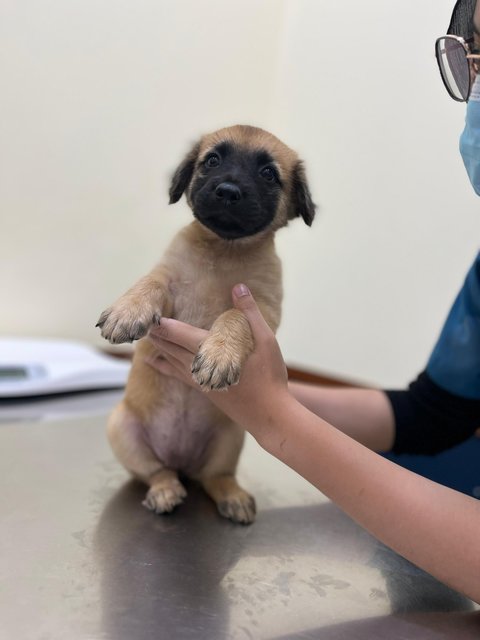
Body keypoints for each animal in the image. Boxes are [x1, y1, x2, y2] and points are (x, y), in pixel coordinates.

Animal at [97, 125, 316, 524]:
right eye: (212, 160)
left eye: (268, 174)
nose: (227, 191)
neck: (223, 250)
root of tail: (181, 462)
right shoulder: (168, 281)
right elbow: (150, 282)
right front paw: (127, 311)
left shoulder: (261, 307)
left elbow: (233, 315)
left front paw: (219, 354)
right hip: (123, 432)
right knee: (157, 472)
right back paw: (165, 489)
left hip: (229, 440)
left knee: (215, 477)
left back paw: (233, 497)